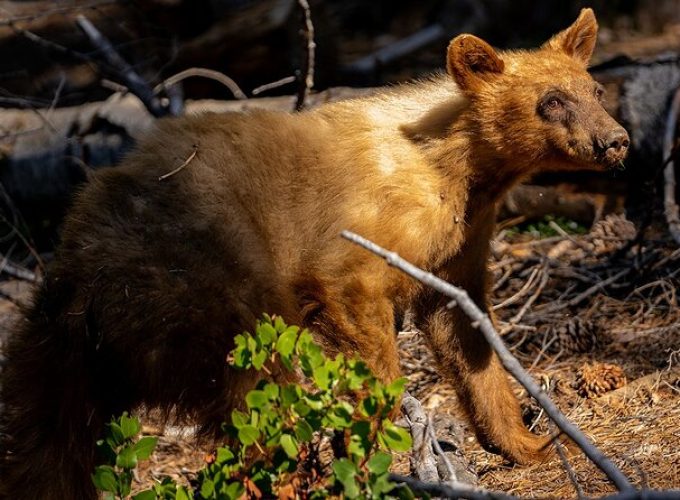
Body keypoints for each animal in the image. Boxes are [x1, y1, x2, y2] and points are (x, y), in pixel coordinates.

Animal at [0, 8, 628, 500]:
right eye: (551, 101)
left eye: (595, 91)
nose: (616, 140)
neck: (456, 166)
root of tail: (80, 275)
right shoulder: (363, 235)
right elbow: (357, 308)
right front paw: (377, 439)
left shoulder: (458, 243)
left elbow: (467, 337)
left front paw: (530, 441)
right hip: (206, 290)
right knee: (255, 393)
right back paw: (286, 476)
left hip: (59, 357)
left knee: (46, 443)